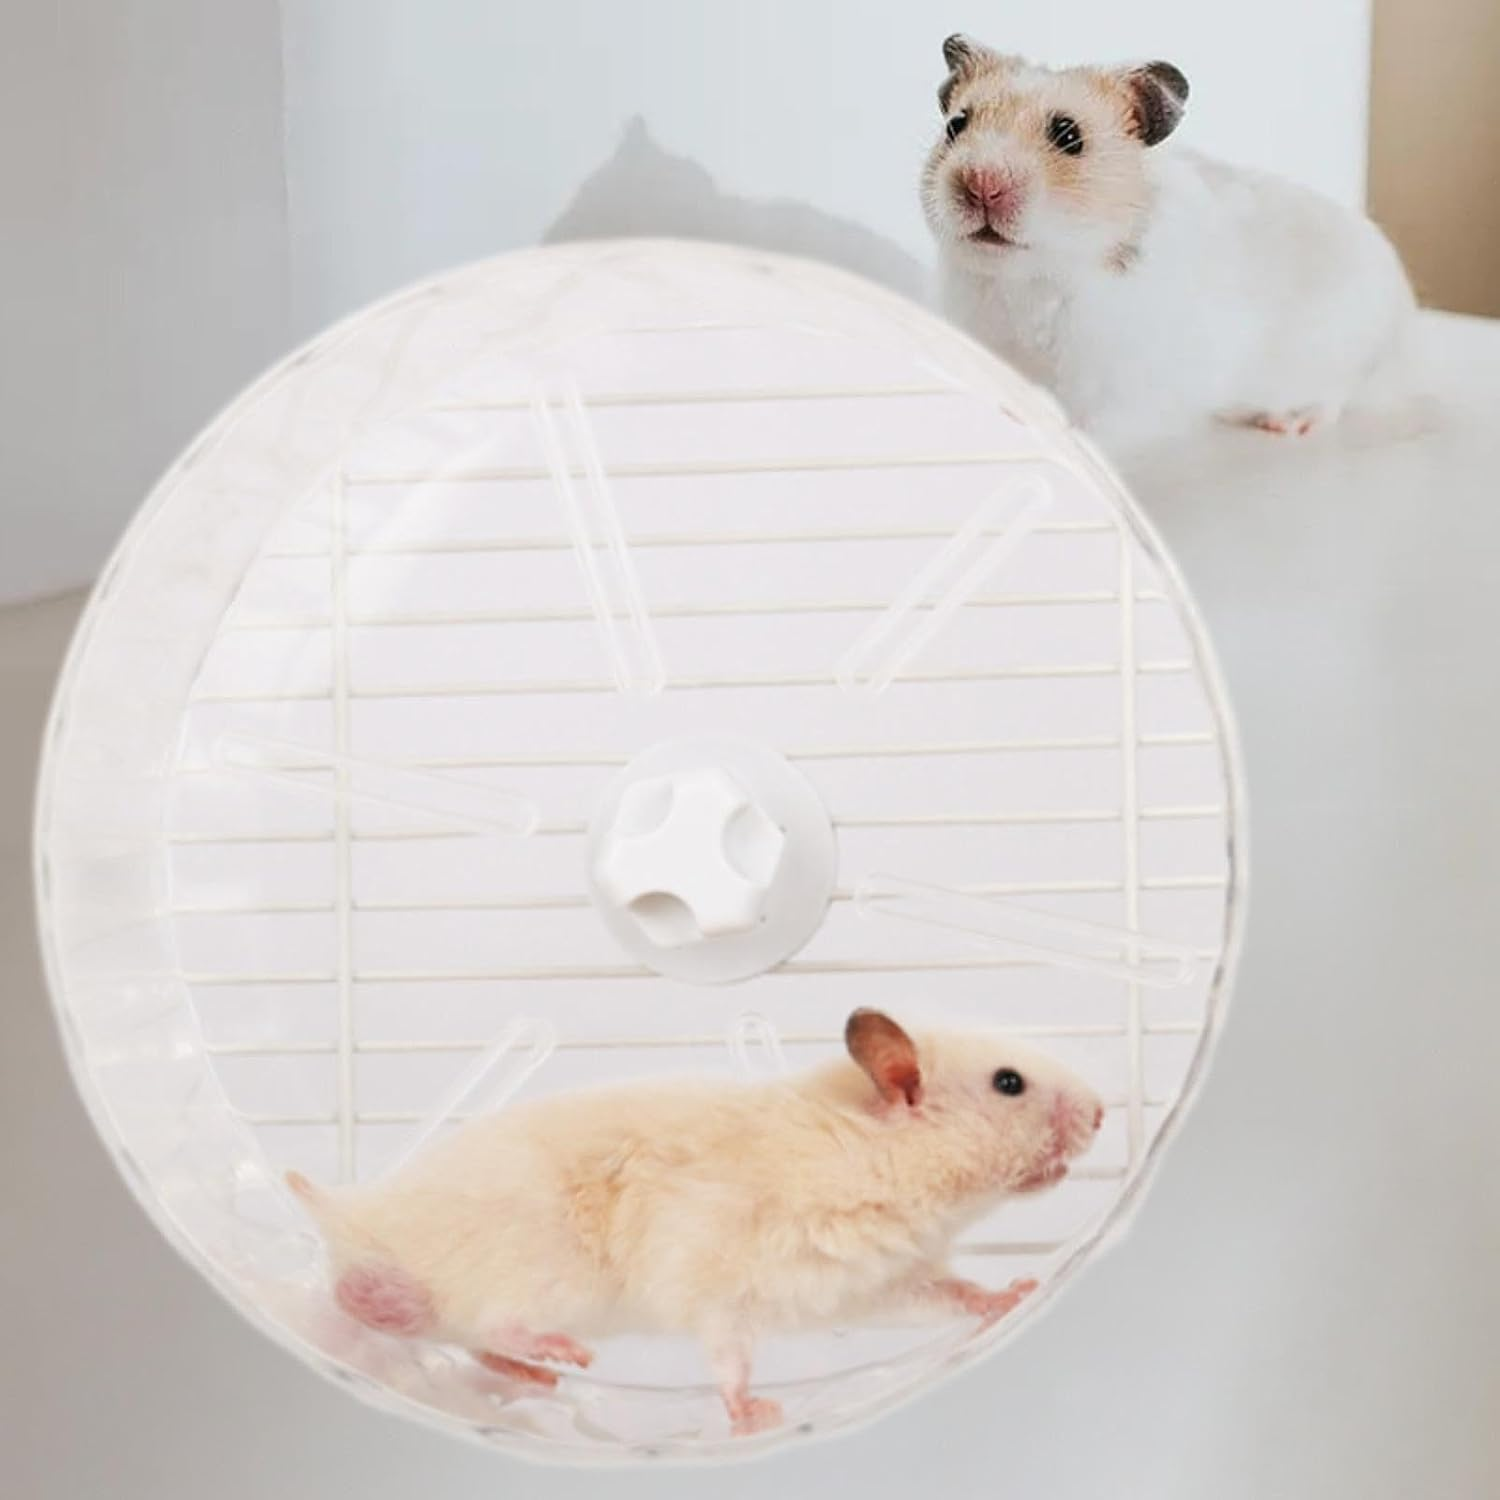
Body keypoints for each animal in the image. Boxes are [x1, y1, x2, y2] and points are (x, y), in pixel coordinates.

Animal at [287, 1007, 1103, 1436]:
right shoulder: (717, 1274)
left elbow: (956, 1294)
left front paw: (1020, 1291)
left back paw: (539, 1377)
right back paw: (564, 1355)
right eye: (1009, 1083)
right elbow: (728, 1356)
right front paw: (757, 1417)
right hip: (536, 1268)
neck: (879, 1164)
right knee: (479, 1317)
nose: (1102, 1113)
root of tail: (355, 1223)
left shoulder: (879, 1284)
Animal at [921, 36, 1417, 450]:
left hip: (1342, 356)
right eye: (956, 125)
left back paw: (1288, 423)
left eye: (1068, 135)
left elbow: (1088, 426)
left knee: (1336, 397)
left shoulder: (1126, 390)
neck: (1030, 277)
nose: (981, 185)